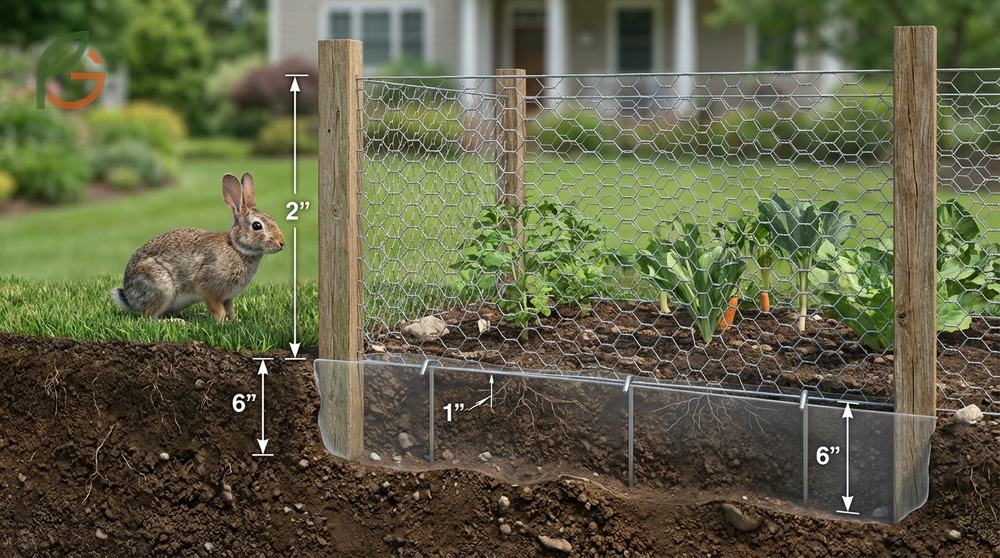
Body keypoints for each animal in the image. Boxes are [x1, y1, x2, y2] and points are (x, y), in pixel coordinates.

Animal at [111, 172, 285, 322]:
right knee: (148, 317)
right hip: (160, 285)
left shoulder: (228, 297)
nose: (282, 243)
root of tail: (130, 298)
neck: (237, 248)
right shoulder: (209, 288)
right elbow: (218, 309)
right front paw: (222, 323)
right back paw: (176, 322)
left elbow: (229, 309)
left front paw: (235, 321)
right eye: (257, 226)